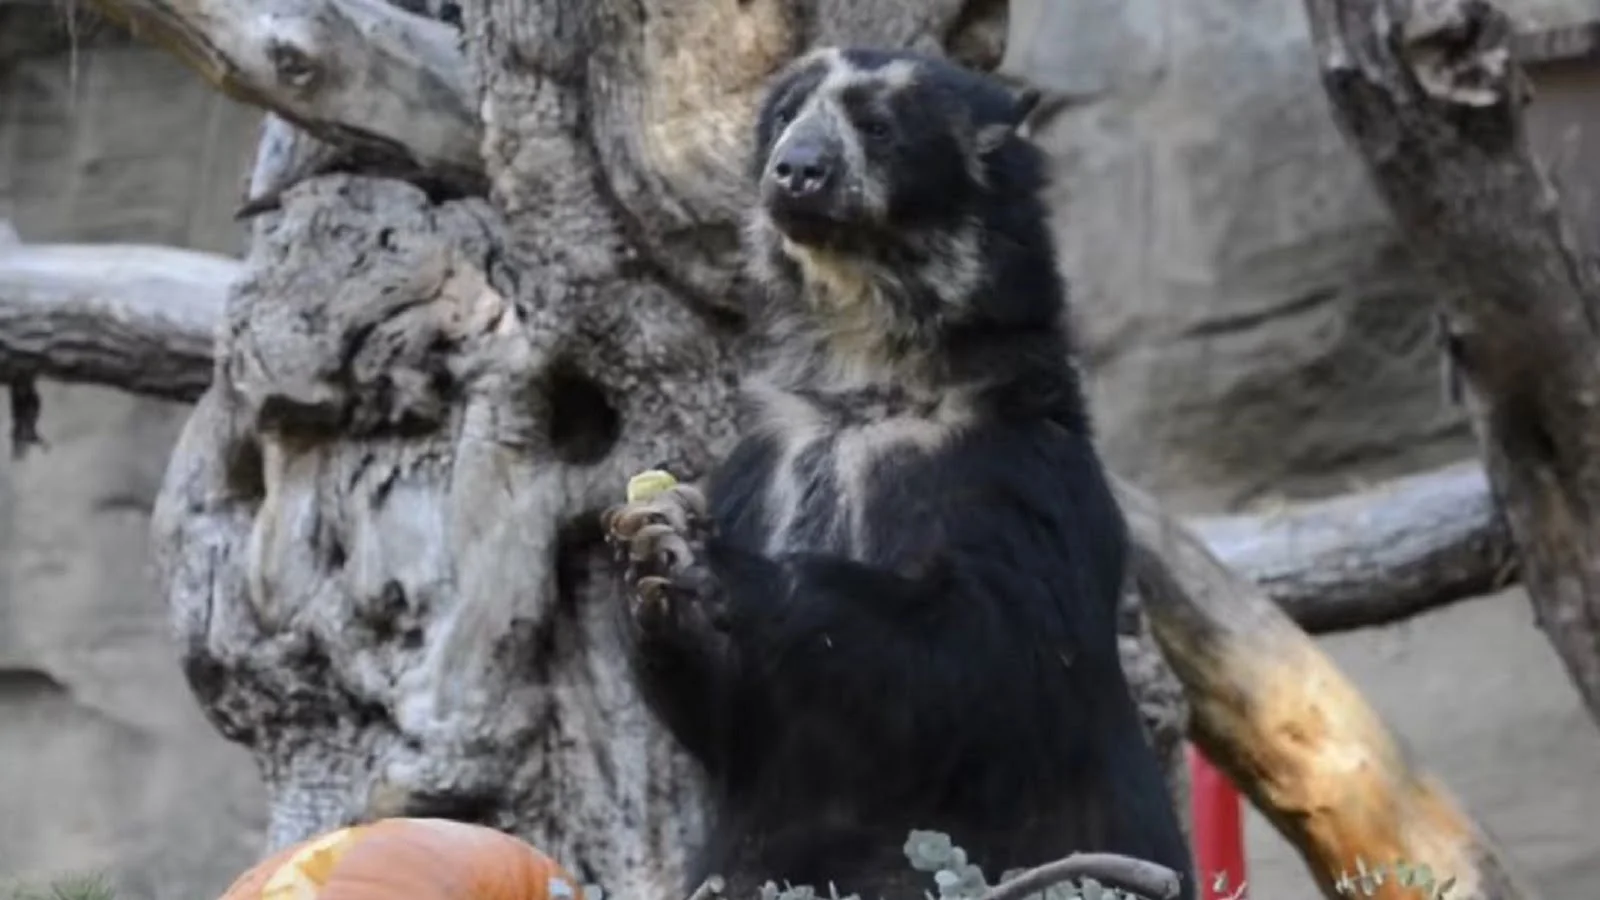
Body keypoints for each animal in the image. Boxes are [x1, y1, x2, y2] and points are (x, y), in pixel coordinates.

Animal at [604, 47, 1196, 896]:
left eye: (878, 126)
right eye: (784, 115)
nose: (796, 172)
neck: (868, 370)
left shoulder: (1023, 476)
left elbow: (986, 654)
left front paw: (709, 559)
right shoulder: (765, 464)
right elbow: (729, 716)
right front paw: (646, 562)